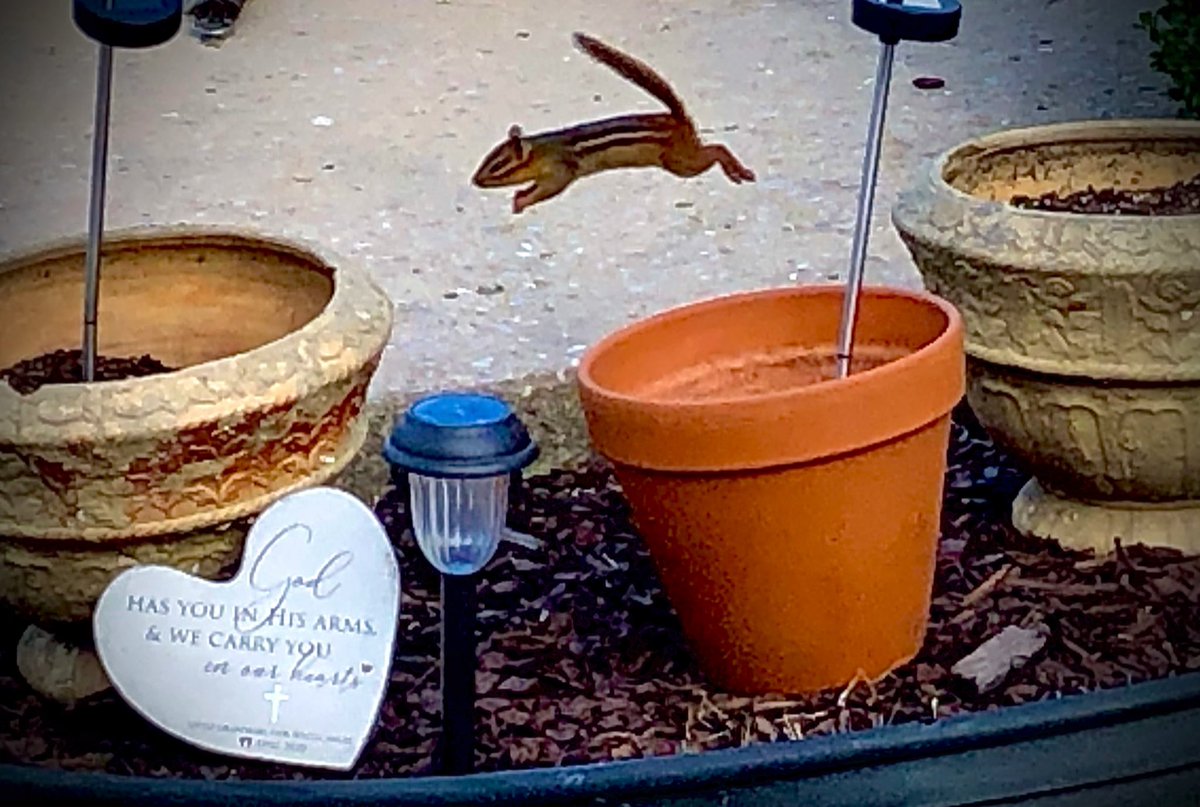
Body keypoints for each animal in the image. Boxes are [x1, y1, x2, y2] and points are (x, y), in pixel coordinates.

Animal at [472, 32, 756, 214]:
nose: (475, 181)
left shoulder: (560, 170)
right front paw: (519, 197)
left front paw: (522, 200)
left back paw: (737, 170)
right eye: (486, 159)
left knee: (716, 149)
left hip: (679, 161)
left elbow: (549, 189)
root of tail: (677, 118)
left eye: (498, 166)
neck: (543, 150)